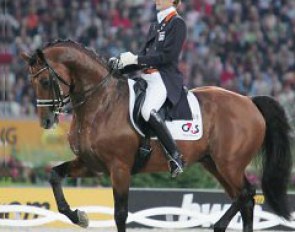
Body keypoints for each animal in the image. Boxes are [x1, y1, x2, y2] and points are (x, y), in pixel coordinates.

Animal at [21, 39, 294, 231]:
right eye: (31, 83)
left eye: (44, 81)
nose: (46, 121)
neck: (100, 103)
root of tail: (249, 101)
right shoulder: (92, 165)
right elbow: (55, 175)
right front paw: (79, 216)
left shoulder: (119, 168)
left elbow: (121, 214)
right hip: (215, 165)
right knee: (244, 199)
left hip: (230, 164)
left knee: (247, 193)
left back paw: (217, 225)